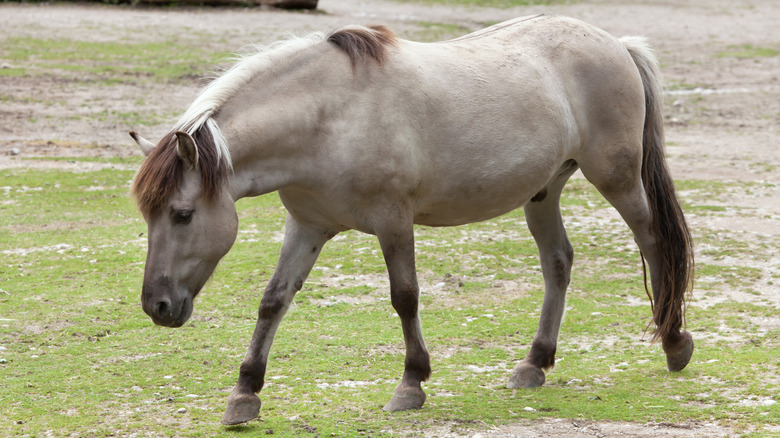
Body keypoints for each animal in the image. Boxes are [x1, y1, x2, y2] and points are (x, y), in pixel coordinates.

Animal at [129, 15, 696, 426]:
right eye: (149, 216)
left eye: (182, 214)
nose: (158, 306)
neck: (330, 117)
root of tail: (616, 44)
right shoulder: (307, 227)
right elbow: (273, 301)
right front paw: (245, 393)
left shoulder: (394, 221)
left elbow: (404, 297)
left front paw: (411, 383)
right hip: (543, 192)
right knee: (558, 263)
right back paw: (534, 363)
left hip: (617, 180)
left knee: (653, 243)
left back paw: (674, 343)